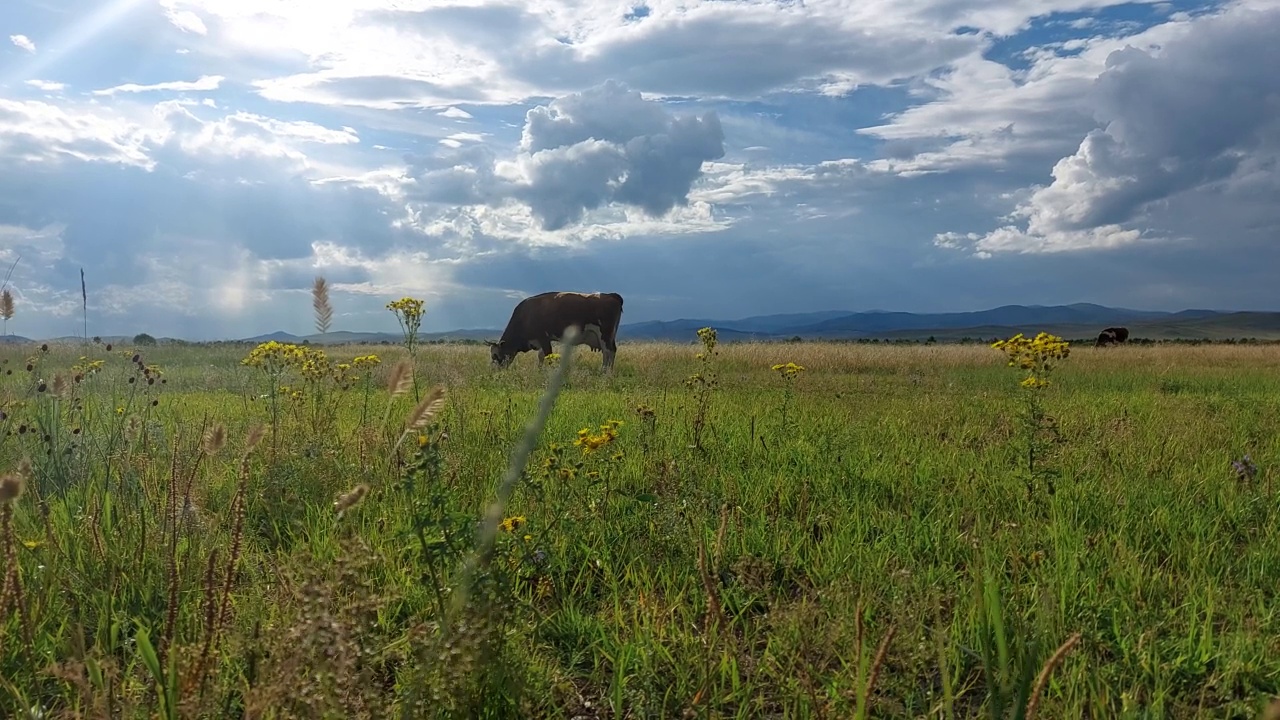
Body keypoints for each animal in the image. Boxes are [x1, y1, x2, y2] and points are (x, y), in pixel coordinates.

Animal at [483, 289, 624, 368]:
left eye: (495, 355)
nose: (494, 371)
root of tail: (611, 295)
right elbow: (541, 357)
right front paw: (539, 370)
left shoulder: (543, 338)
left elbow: (548, 355)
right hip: (610, 336)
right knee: (612, 352)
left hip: (605, 334)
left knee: (608, 352)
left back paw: (605, 373)